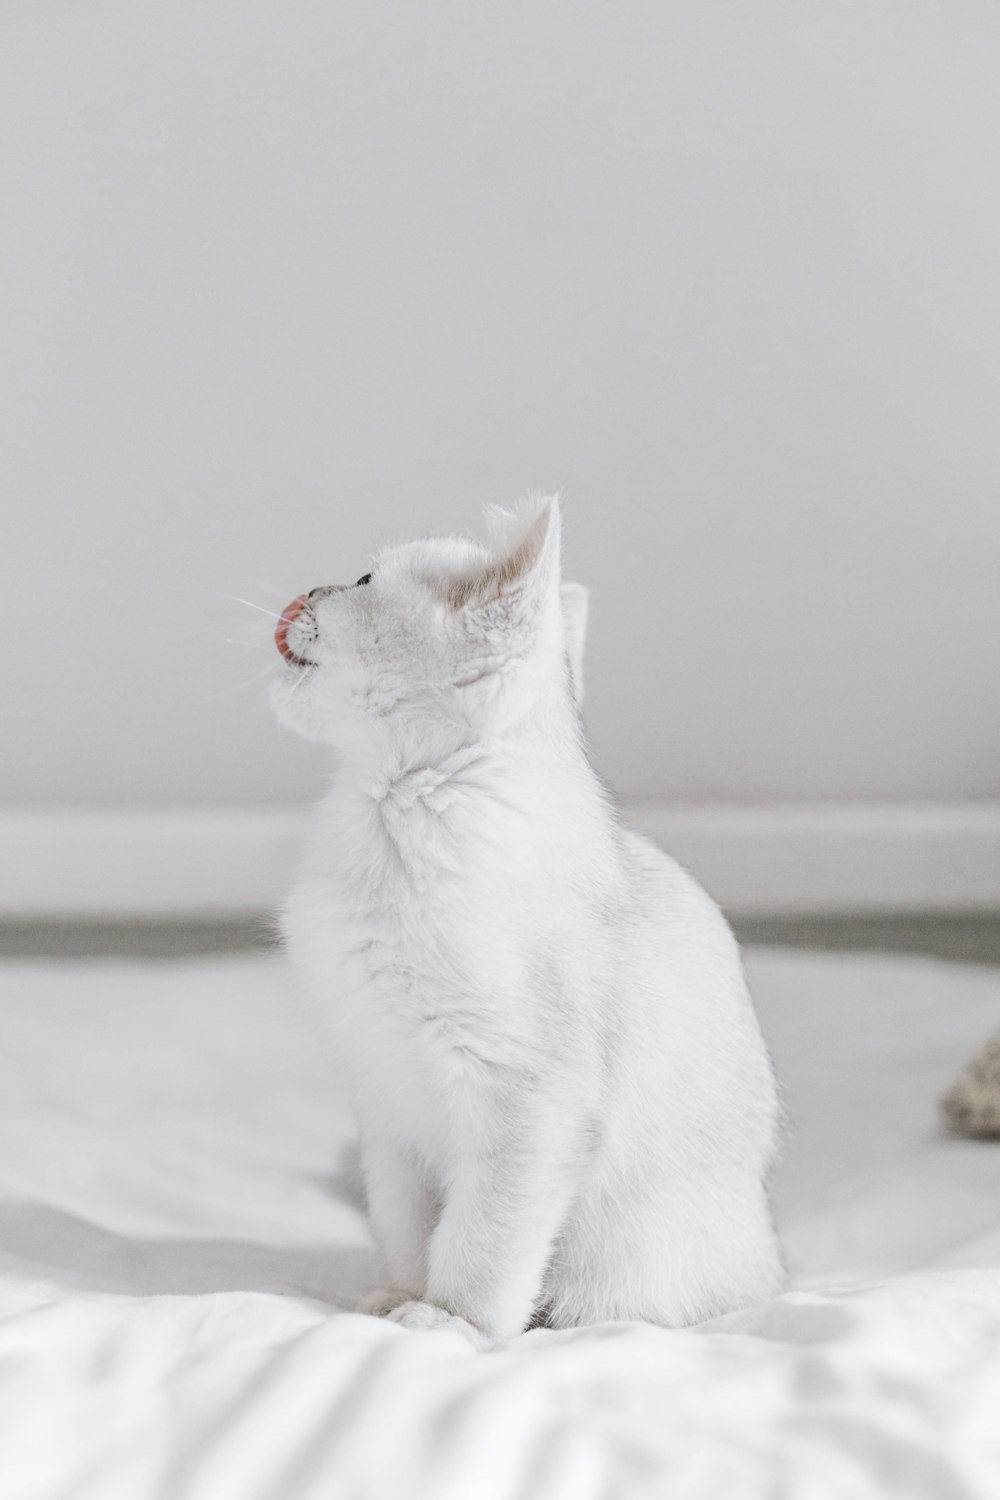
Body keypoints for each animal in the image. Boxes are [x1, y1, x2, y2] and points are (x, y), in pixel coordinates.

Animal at [271, 495, 779, 1350]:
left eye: (364, 581)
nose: (306, 593)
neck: (394, 816)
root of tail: (774, 1266)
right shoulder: (387, 1098)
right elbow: (407, 1225)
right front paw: (393, 1299)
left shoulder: (529, 1102)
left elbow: (483, 1237)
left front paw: (450, 1323)